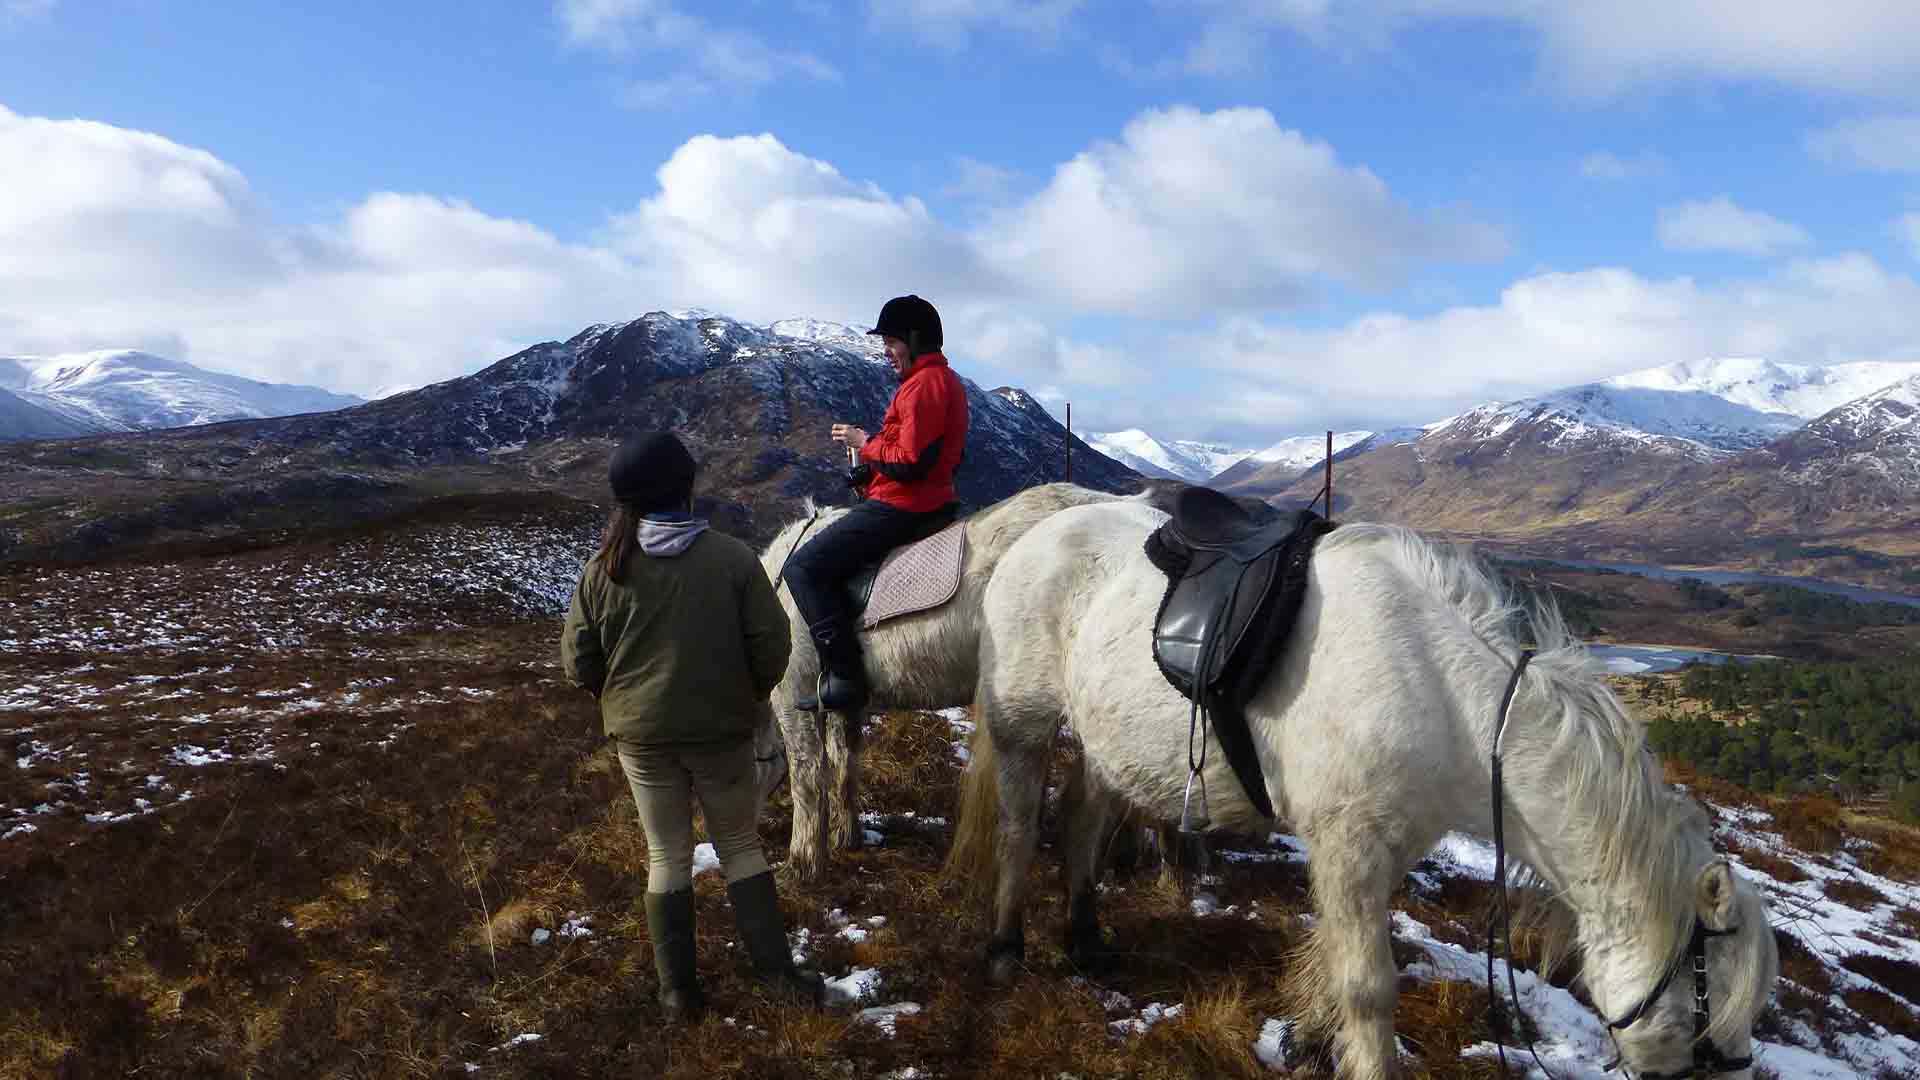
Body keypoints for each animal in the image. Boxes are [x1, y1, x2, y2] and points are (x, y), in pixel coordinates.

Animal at [756, 478, 1121, 876]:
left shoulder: (795, 694)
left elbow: (806, 774)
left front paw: (803, 861)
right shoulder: (844, 699)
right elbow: (844, 764)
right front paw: (846, 836)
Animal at [952, 503, 1774, 1076]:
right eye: (1708, 1015)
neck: (1447, 700)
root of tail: (1032, 532)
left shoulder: (1380, 852)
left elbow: (1334, 965)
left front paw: (1307, 1041)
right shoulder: (1349, 850)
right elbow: (1370, 990)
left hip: (1106, 743)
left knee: (1082, 819)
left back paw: (1086, 939)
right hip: (1023, 722)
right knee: (1020, 826)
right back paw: (1005, 948)